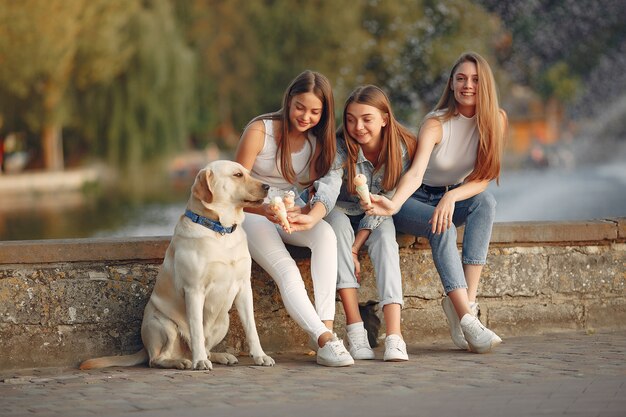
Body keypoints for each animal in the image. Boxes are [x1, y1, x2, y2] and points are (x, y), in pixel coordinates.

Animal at [80, 159, 272, 370]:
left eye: (248, 172)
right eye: (237, 175)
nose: (267, 186)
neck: (220, 230)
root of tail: (145, 348)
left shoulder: (244, 286)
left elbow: (251, 328)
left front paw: (260, 356)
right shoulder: (194, 290)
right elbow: (196, 330)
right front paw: (200, 361)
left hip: (224, 321)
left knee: (206, 347)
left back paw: (219, 356)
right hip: (164, 324)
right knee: (157, 359)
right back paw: (183, 361)